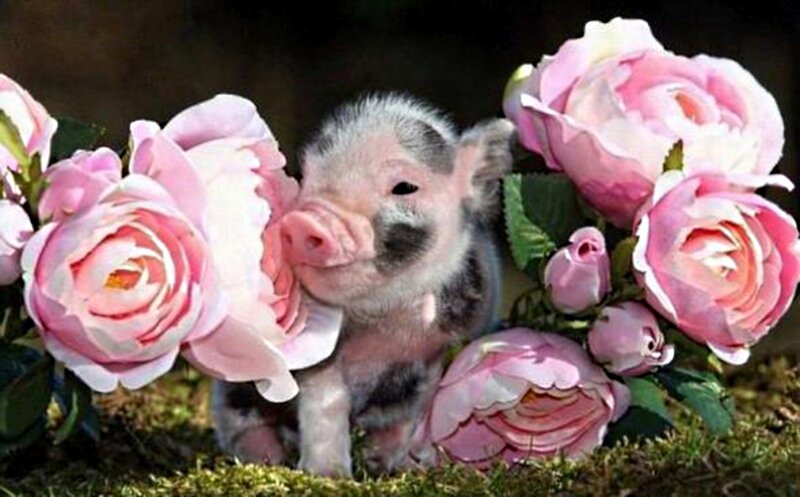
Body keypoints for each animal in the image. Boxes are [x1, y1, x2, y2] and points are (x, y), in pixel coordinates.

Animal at [212, 93, 514, 477]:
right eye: (306, 178)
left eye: (404, 187)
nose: (304, 221)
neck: (386, 322)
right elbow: (327, 402)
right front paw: (328, 475)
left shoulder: (437, 353)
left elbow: (411, 414)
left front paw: (396, 466)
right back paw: (265, 458)